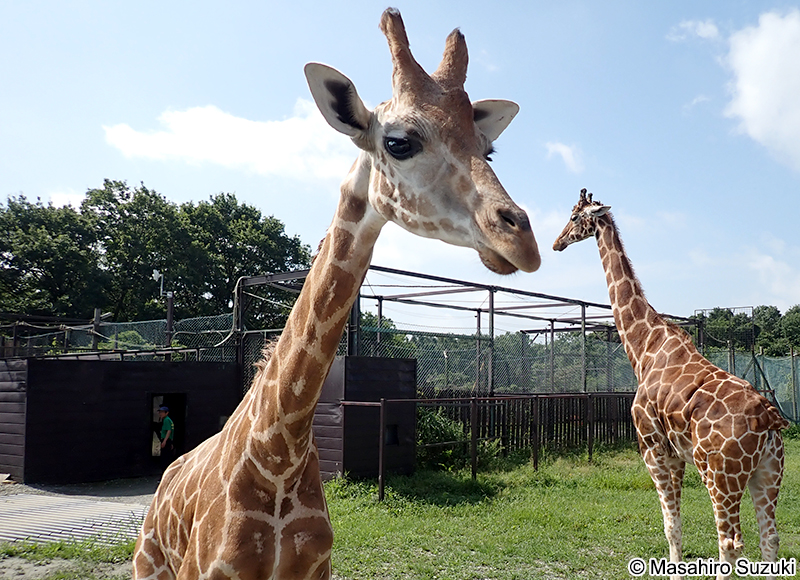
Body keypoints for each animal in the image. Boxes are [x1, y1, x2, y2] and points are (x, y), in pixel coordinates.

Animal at [132, 8, 540, 580]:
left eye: (488, 149)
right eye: (399, 142)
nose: (521, 240)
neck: (277, 455)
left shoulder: (316, 568)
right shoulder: (208, 571)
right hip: (148, 566)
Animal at [553, 189, 789, 580]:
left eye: (573, 218)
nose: (556, 243)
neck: (644, 346)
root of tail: (769, 418)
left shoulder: (653, 447)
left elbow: (670, 525)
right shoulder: (677, 454)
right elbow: (677, 525)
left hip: (721, 475)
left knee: (730, 543)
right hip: (767, 472)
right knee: (769, 539)